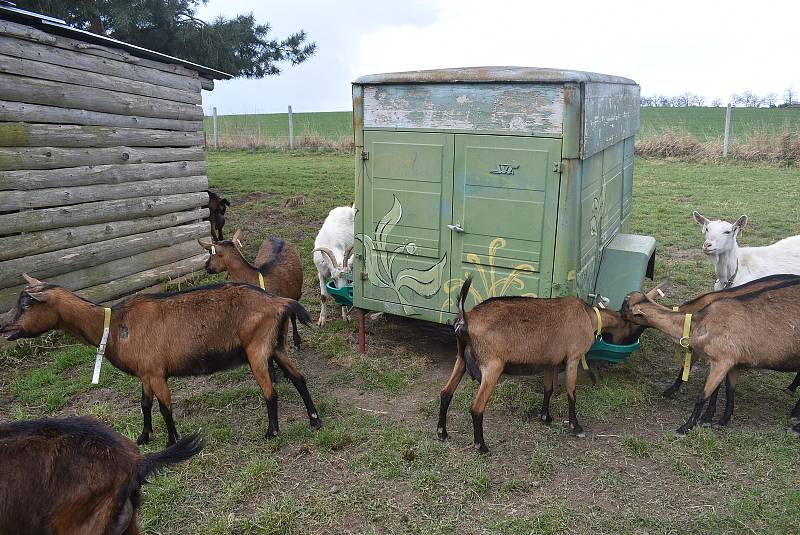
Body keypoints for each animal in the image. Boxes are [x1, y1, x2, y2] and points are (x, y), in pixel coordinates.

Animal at [3, 274, 322, 446]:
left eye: (27, 304)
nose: (4, 327)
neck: (114, 325)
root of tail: (278, 302)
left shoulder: (157, 373)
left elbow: (165, 407)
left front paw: (172, 440)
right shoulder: (146, 373)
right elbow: (145, 405)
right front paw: (143, 437)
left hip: (256, 349)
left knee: (270, 391)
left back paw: (272, 431)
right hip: (276, 346)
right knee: (299, 379)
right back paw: (315, 421)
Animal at [438, 274, 656, 454]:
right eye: (636, 325)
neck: (589, 316)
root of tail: (466, 318)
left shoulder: (551, 363)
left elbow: (549, 389)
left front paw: (545, 417)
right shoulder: (573, 357)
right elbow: (571, 392)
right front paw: (576, 427)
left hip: (461, 360)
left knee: (446, 392)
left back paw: (442, 433)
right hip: (492, 366)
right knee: (476, 407)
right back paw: (481, 446)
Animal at [620, 278, 800, 438]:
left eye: (624, 306)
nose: (616, 314)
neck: (698, 322)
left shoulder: (722, 361)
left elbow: (703, 395)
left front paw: (688, 426)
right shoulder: (734, 363)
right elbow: (729, 390)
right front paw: (723, 420)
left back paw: (795, 424)